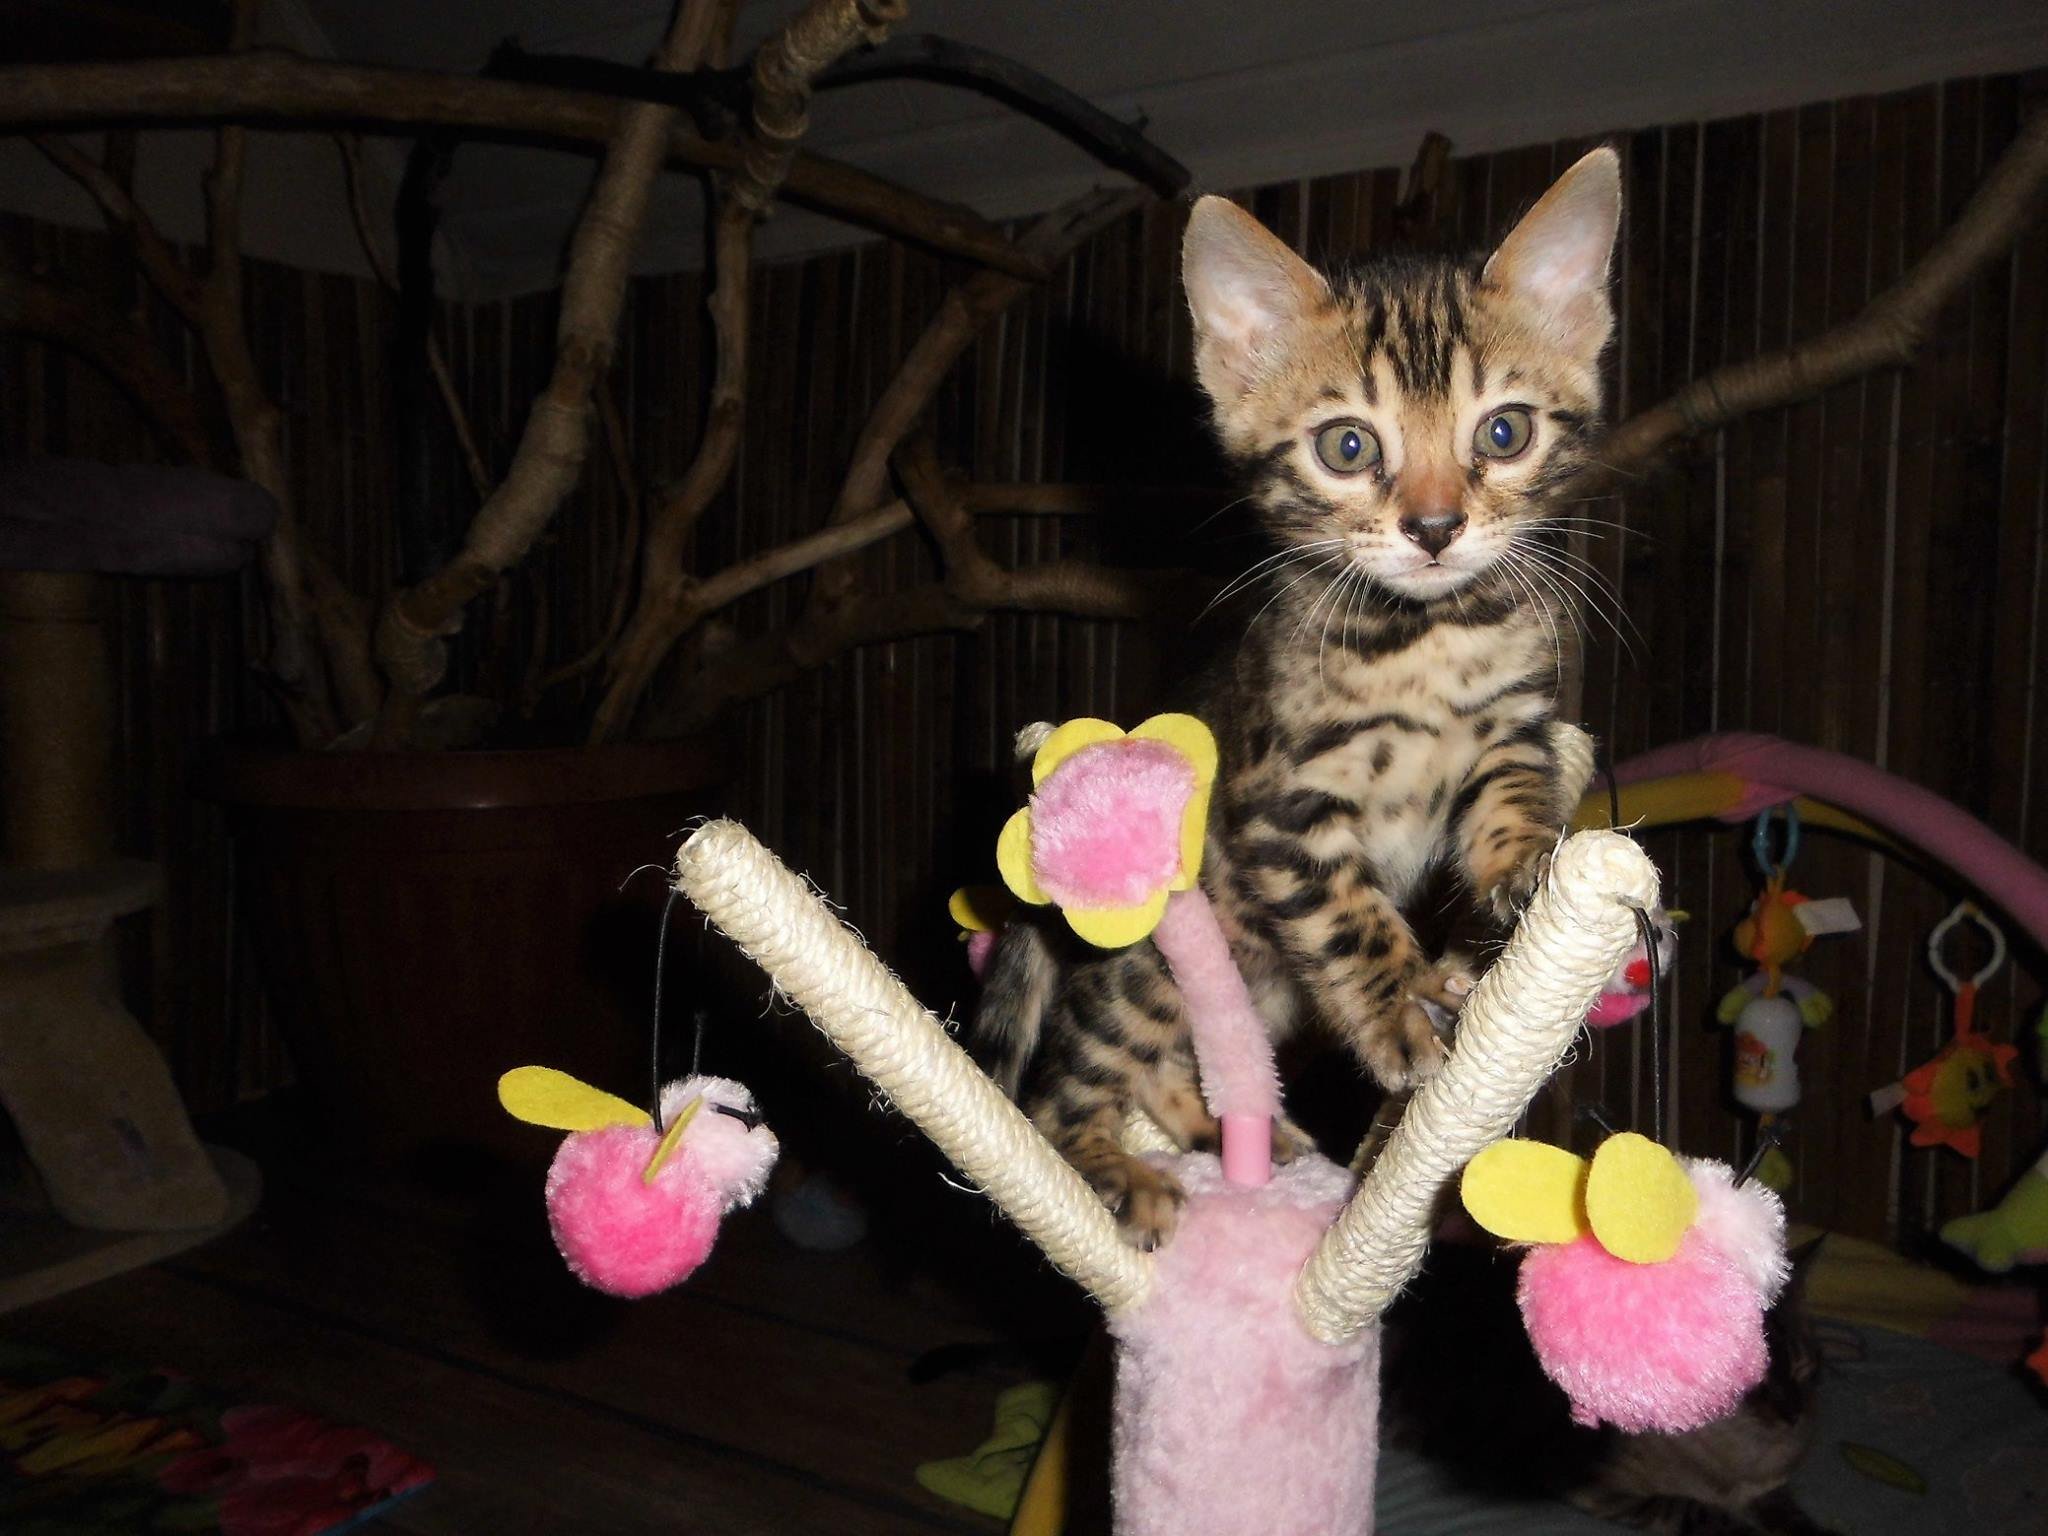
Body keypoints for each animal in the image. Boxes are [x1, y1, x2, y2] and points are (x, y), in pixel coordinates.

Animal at [973, 148, 1624, 1249]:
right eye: (1348, 448)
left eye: (1504, 431)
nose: (1435, 527)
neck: (1427, 637)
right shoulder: (1283, 802)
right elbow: (1350, 913)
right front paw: (1402, 1010)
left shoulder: (1512, 731)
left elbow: (1514, 798)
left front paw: (1525, 866)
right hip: (1153, 961)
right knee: (1066, 1083)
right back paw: (1110, 1170)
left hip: (1253, 990)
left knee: (1181, 1063)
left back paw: (1237, 1137)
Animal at [1380, 1237, 1830, 1535]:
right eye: (1751, 1378)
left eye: (1804, 1368)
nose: (1793, 1414)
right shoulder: (1583, 1481)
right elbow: (1693, 1510)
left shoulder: (1771, 1490)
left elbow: (1791, 1514)